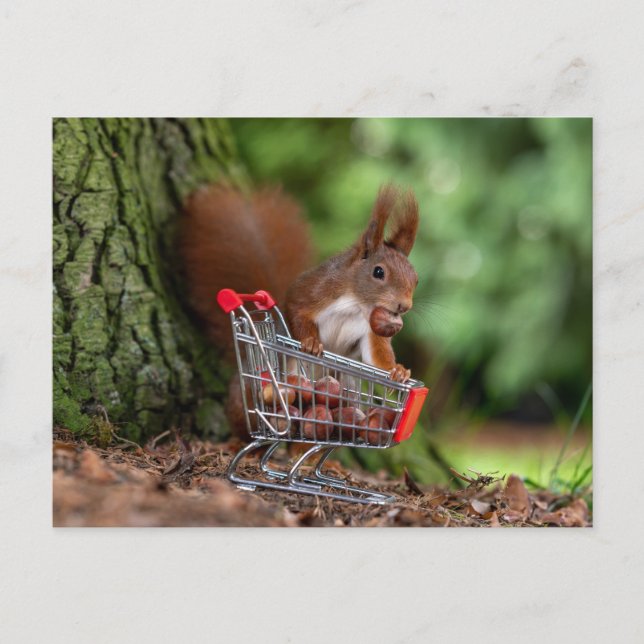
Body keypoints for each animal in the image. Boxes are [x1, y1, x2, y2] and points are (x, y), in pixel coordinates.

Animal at [180, 183, 419, 438]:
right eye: (378, 272)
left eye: (416, 279)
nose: (404, 306)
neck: (356, 304)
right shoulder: (315, 290)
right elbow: (298, 310)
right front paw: (311, 343)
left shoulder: (371, 330)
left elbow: (376, 356)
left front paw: (398, 371)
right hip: (251, 393)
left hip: (347, 384)